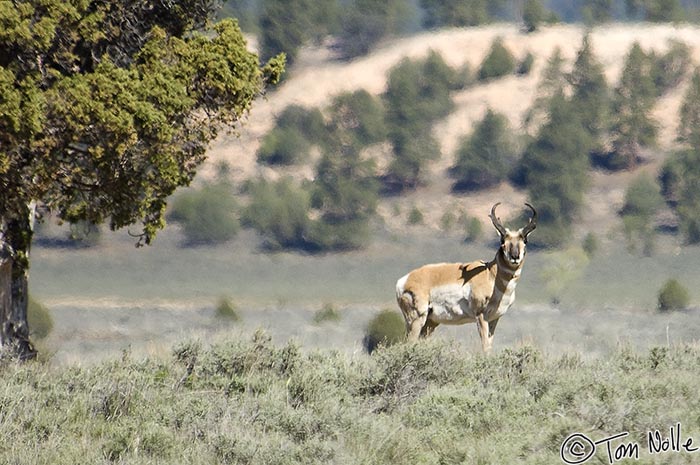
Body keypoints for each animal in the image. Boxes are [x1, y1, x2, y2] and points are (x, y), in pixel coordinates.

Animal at [396, 203, 540, 352]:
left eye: (525, 240)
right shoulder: (481, 316)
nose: (515, 257)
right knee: (409, 343)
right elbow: (485, 346)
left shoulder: (494, 319)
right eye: (502, 241)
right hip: (416, 319)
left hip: (430, 322)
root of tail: (404, 280)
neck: (490, 276)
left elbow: (489, 346)